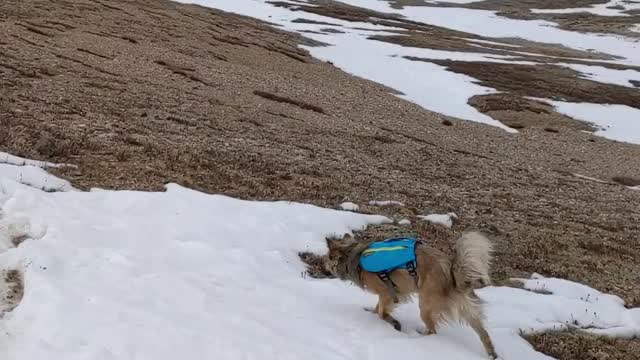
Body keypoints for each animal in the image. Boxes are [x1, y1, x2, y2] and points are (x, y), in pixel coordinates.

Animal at [324, 232, 500, 358]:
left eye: (329, 258)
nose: (323, 268)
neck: (355, 255)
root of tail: (451, 271)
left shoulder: (387, 292)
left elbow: (382, 311)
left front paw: (393, 323)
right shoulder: (387, 294)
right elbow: (377, 308)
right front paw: (371, 312)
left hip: (426, 305)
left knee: (432, 330)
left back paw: (420, 339)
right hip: (468, 310)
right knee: (483, 333)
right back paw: (492, 354)